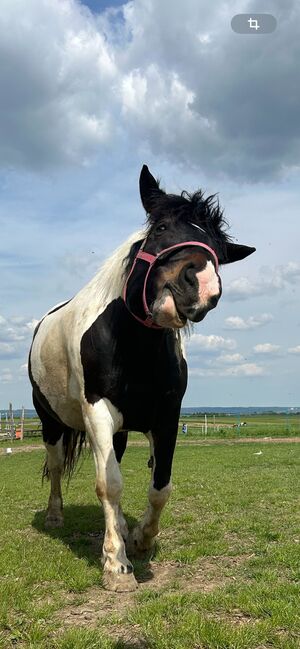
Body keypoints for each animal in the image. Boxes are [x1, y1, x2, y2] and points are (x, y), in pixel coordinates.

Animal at [28, 163, 254, 592]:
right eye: (162, 227)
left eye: (217, 250)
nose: (202, 287)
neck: (132, 344)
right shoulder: (97, 411)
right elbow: (109, 485)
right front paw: (116, 566)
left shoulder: (165, 416)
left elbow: (159, 486)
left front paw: (139, 540)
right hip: (52, 423)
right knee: (58, 467)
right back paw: (55, 516)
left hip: (116, 432)